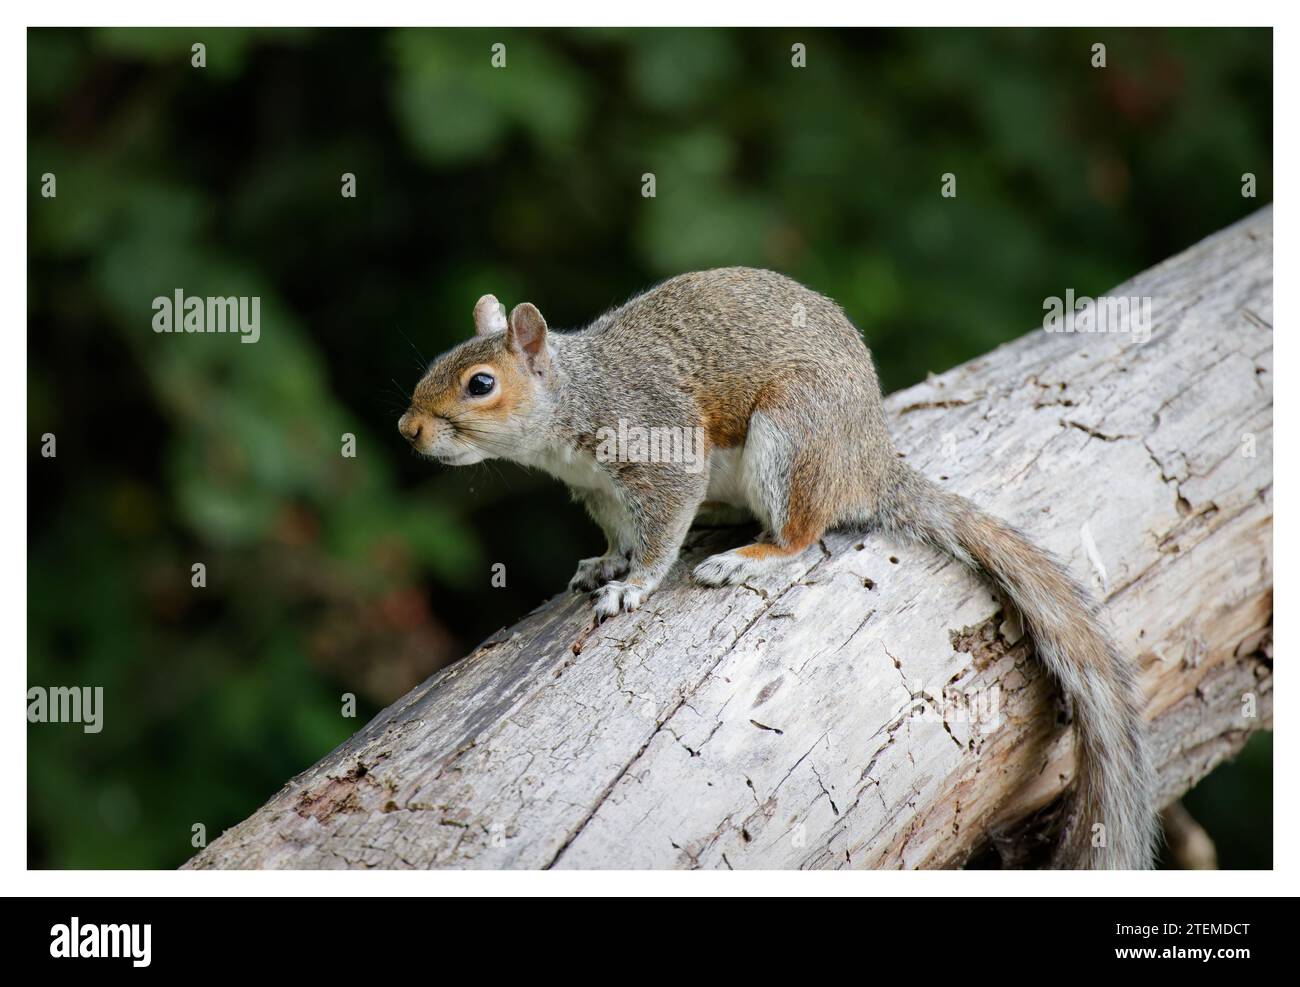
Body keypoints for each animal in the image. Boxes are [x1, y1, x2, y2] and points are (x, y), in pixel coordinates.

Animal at [398, 267, 1156, 870]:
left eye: (480, 384)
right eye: (436, 360)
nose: (408, 429)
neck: (577, 399)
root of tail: (869, 464)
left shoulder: (660, 446)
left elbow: (660, 532)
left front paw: (633, 586)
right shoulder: (599, 492)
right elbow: (618, 535)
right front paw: (604, 565)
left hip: (790, 440)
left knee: (801, 533)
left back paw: (746, 558)